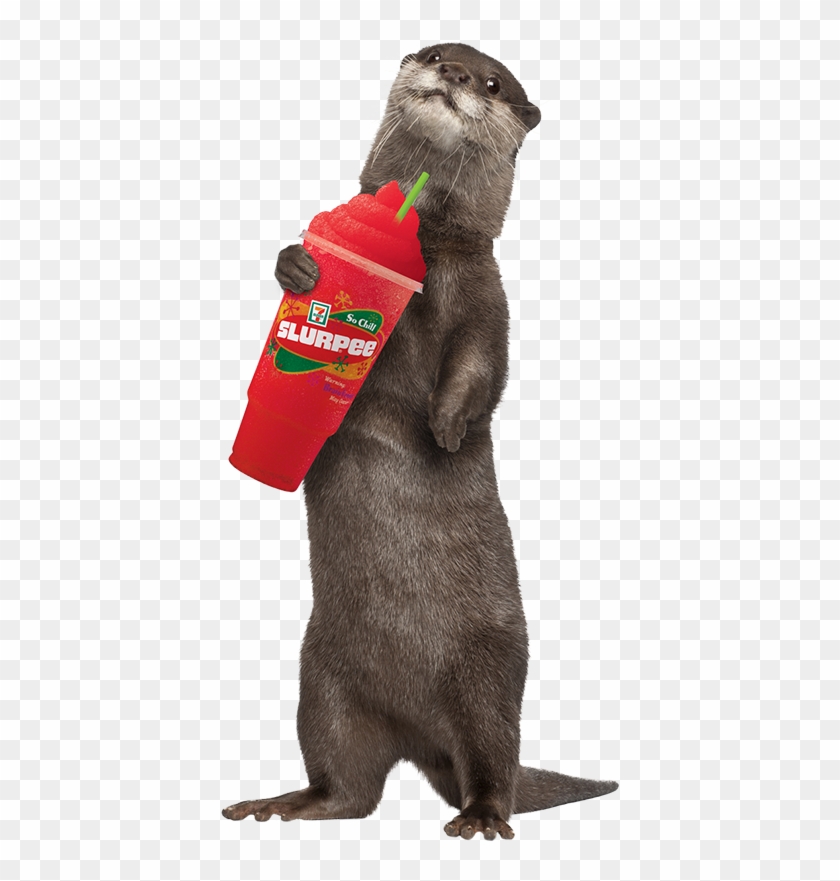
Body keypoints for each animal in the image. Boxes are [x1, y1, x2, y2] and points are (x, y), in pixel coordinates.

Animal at [223, 42, 617, 840]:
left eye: (493, 82)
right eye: (436, 53)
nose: (456, 75)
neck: (423, 253)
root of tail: (418, 739)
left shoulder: (488, 297)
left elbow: (483, 367)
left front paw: (446, 427)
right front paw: (297, 264)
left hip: (491, 669)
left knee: (493, 756)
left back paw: (481, 817)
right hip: (321, 682)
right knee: (349, 788)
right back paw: (284, 804)